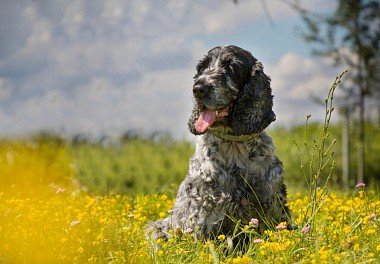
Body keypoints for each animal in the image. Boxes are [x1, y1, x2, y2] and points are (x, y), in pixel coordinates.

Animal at [148, 46, 290, 241]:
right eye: (201, 67)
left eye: (231, 66)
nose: (198, 89)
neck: (234, 146)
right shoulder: (204, 209)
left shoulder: (272, 199)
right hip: (158, 228)